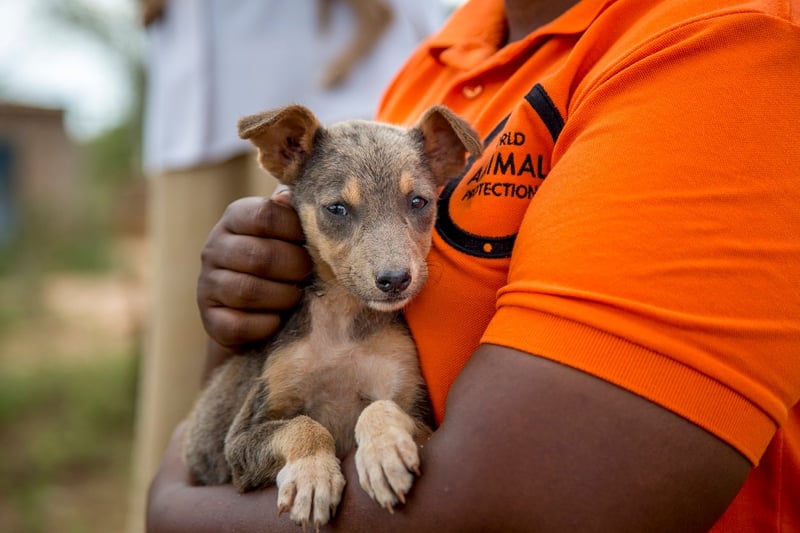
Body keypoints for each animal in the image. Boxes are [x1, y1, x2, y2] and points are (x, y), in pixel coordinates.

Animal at [182, 104, 482, 528]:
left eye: (419, 202)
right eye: (337, 208)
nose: (395, 280)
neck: (344, 322)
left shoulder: (419, 413)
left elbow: (378, 407)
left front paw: (384, 451)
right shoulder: (241, 440)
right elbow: (304, 426)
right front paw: (312, 476)